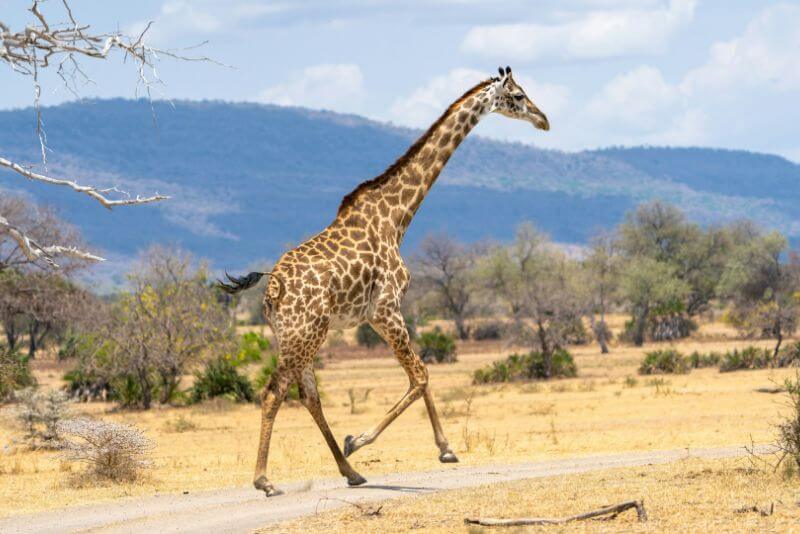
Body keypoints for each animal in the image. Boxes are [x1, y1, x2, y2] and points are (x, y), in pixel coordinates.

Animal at [219, 66, 549, 497]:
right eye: (519, 95)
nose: (544, 120)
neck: (397, 217)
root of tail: (272, 288)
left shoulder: (375, 316)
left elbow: (420, 375)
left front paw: (442, 448)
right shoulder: (386, 309)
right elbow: (420, 375)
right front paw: (363, 440)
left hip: (298, 335)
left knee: (308, 394)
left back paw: (350, 472)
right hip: (304, 334)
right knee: (275, 391)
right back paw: (266, 480)